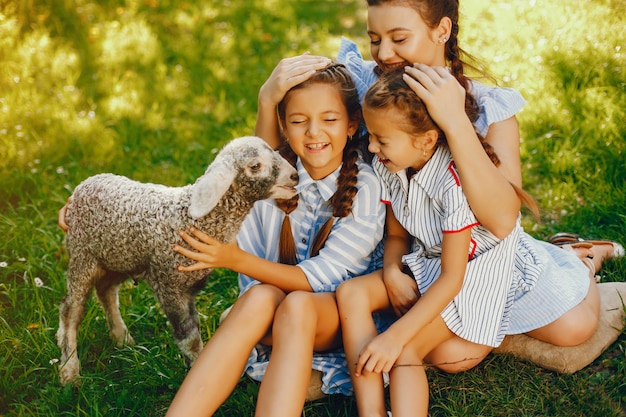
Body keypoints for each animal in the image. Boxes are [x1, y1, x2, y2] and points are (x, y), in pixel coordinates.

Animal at [54, 135, 296, 386]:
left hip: (119, 257)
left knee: (106, 291)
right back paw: (69, 370)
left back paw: (121, 338)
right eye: (255, 165)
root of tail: (85, 184)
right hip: (82, 255)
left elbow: (194, 329)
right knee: (71, 308)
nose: (295, 176)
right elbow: (189, 337)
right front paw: (198, 370)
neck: (190, 219)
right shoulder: (169, 285)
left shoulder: (187, 288)